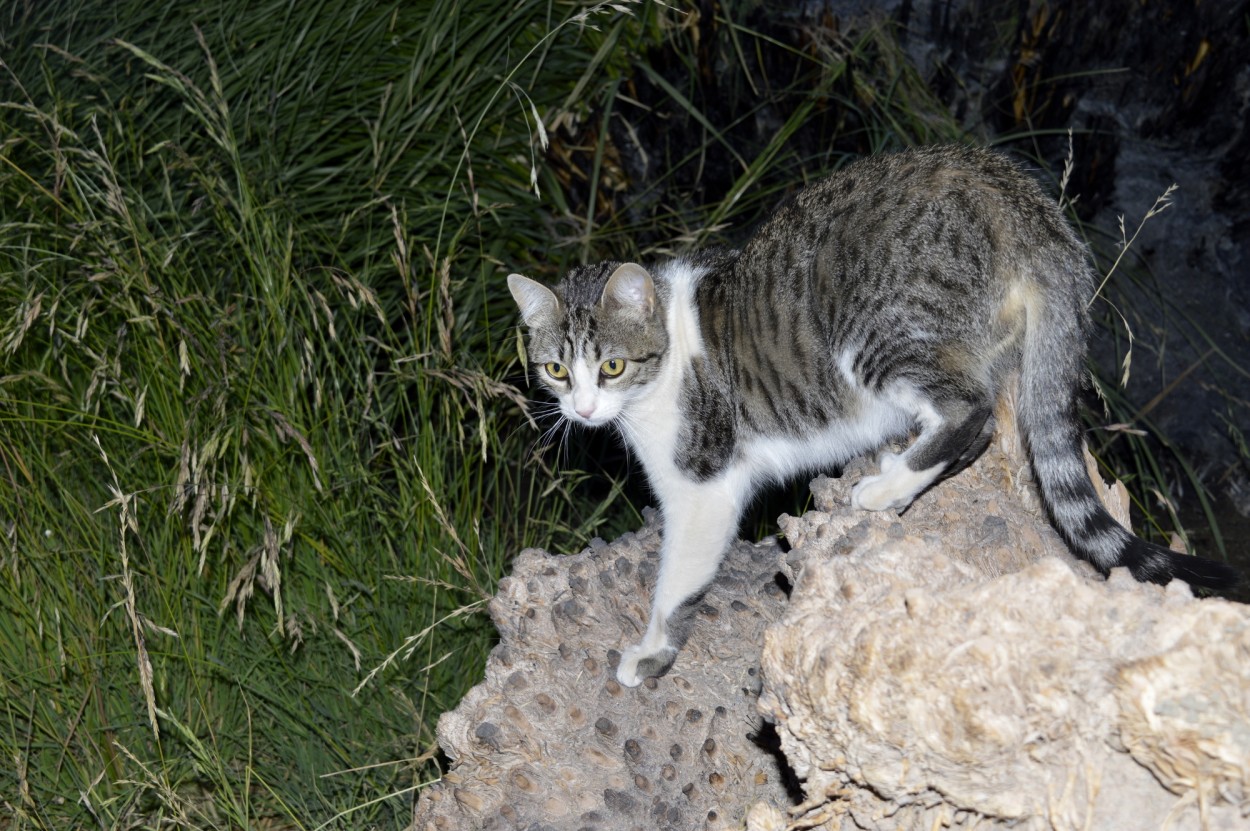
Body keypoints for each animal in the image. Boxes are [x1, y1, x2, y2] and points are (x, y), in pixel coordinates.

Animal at [502, 144, 1235, 684]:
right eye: (557, 369)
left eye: (612, 367)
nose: (583, 408)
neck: (669, 355)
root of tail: (1013, 196)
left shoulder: (704, 485)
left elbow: (676, 580)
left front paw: (650, 652)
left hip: (874, 332)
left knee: (971, 414)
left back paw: (885, 487)